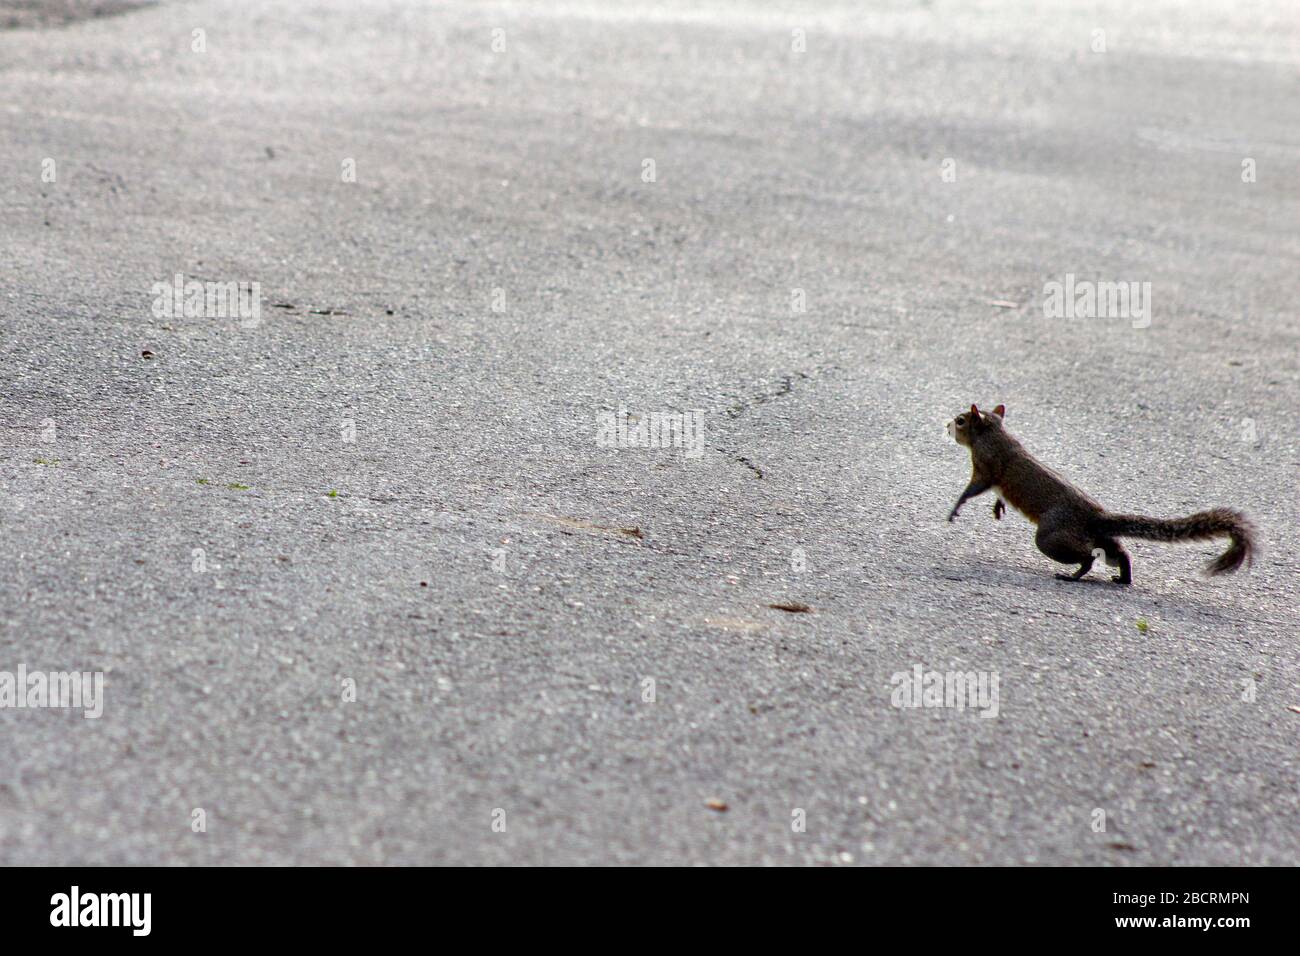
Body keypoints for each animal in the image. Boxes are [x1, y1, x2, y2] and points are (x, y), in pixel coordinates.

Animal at [951, 403, 1253, 582]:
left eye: (961, 420)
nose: (946, 424)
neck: (994, 434)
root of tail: (1097, 516)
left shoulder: (985, 466)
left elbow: (974, 488)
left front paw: (956, 508)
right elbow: (996, 493)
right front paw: (997, 507)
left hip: (1052, 536)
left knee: (1087, 558)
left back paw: (1073, 576)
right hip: (1100, 538)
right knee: (1118, 553)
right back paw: (1123, 578)